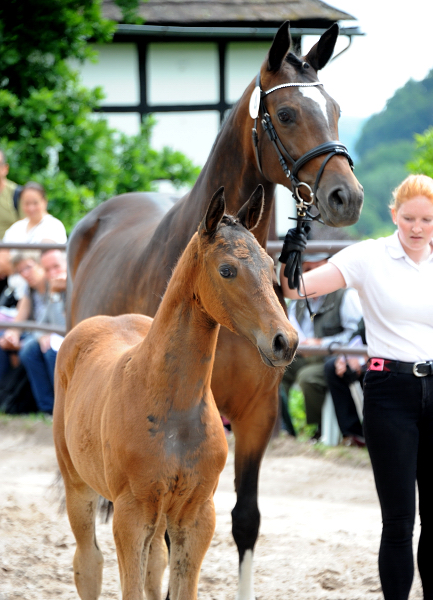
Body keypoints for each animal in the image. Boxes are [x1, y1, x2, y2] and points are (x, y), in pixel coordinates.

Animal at [53, 185, 296, 596]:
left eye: (269, 263)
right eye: (227, 270)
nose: (285, 341)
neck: (172, 404)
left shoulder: (196, 514)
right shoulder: (131, 514)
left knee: (154, 566)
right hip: (78, 485)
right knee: (88, 564)